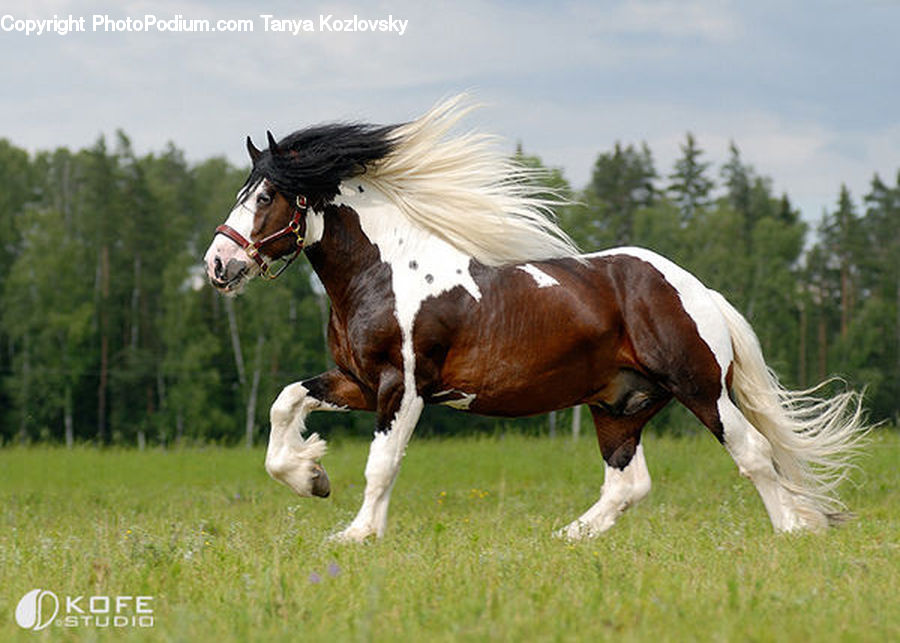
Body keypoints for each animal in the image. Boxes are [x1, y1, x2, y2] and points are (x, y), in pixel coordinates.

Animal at [202, 97, 864, 544]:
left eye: (266, 197)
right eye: (243, 193)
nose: (217, 264)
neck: (382, 274)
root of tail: (695, 289)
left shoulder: (402, 387)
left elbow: (381, 464)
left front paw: (355, 533)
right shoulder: (357, 382)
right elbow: (284, 402)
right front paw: (309, 473)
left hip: (699, 387)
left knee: (752, 451)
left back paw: (792, 531)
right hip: (619, 404)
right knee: (628, 483)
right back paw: (568, 537)